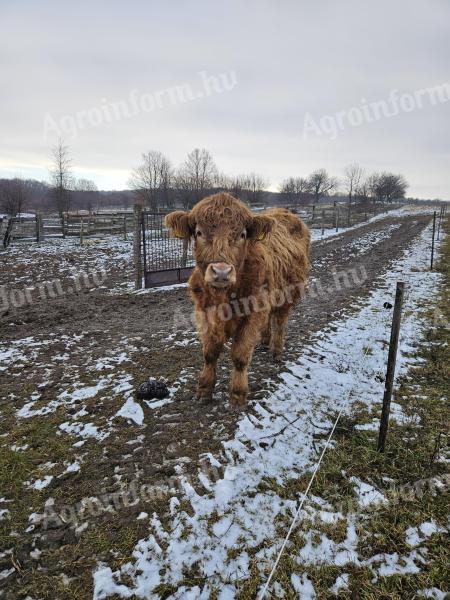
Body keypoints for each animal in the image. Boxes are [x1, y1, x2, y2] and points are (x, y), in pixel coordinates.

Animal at [165, 195, 310, 410]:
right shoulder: (205, 313)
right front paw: (204, 389)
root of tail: (285, 212)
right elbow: (210, 353)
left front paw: (238, 395)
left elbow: (240, 356)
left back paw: (276, 351)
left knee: (280, 322)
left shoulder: (251, 316)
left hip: (290, 293)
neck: (224, 297)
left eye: (242, 234)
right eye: (199, 232)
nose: (221, 272)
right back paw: (264, 341)